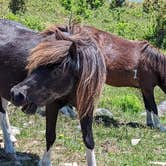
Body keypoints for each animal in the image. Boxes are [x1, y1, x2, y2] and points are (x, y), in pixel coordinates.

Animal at [10, 31, 106, 165]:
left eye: (58, 70)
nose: (16, 94)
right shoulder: (52, 105)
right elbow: (50, 136)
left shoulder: (86, 107)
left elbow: (88, 140)